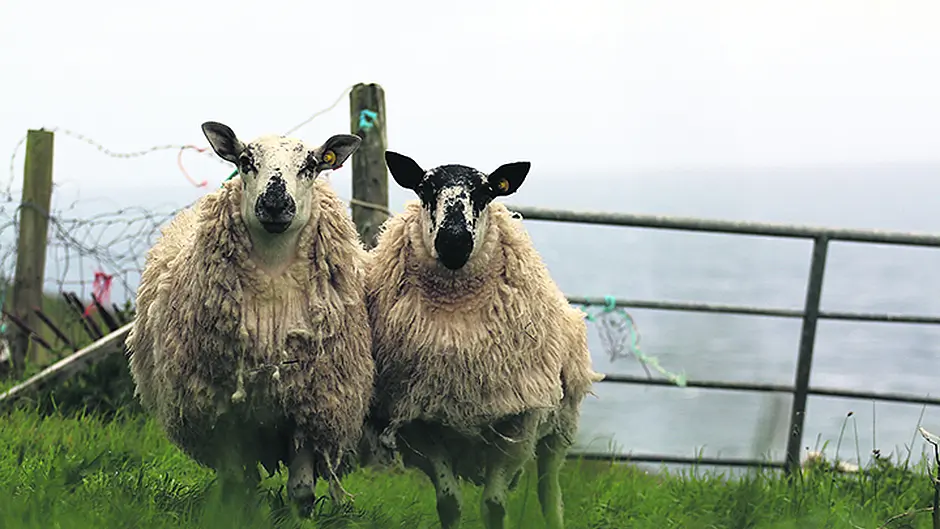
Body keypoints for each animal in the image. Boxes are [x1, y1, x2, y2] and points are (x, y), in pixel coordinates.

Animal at [125, 121, 375, 515]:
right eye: (245, 161)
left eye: (311, 165)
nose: (274, 203)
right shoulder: (223, 410)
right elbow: (235, 484)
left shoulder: (308, 403)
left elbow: (302, 490)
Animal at [365, 151, 604, 529]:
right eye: (425, 188)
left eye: (487, 191)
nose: (454, 241)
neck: (456, 320)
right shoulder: (421, 421)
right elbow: (449, 502)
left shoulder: (517, 423)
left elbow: (494, 504)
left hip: (560, 427)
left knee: (549, 491)